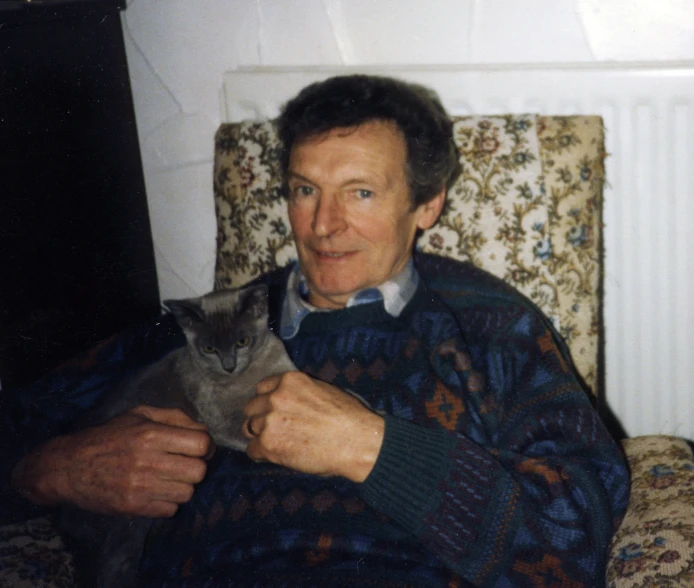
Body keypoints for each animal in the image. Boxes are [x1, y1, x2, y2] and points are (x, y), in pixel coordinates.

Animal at [59, 282, 296, 584]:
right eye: (209, 348)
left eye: (242, 342)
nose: (229, 365)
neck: (250, 375)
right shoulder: (220, 421)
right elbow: (247, 433)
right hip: (128, 517)